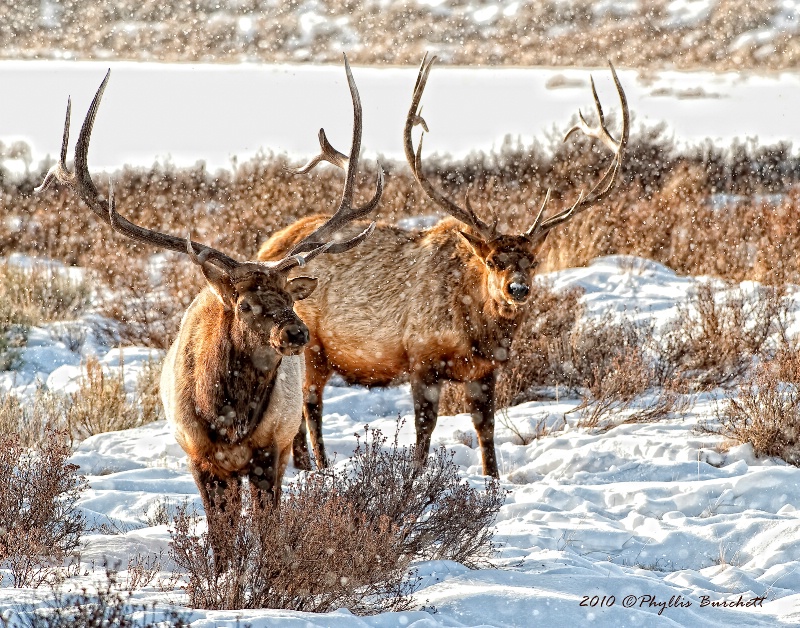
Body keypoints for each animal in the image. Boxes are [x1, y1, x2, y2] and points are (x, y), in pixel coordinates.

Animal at [38, 57, 384, 560]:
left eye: (289, 296)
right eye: (245, 303)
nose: (296, 333)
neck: (228, 418)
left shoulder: (268, 452)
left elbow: (268, 533)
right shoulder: (200, 458)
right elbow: (221, 543)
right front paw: (224, 579)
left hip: (284, 441)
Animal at [260, 55, 628, 476]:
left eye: (533, 261)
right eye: (492, 261)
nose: (518, 288)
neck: (475, 331)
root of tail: (268, 247)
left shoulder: (485, 370)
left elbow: (485, 427)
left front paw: (493, 479)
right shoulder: (422, 357)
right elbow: (424, 429)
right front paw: (416, 477)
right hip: (313, 348)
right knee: (310, 406)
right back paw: (317, 468)